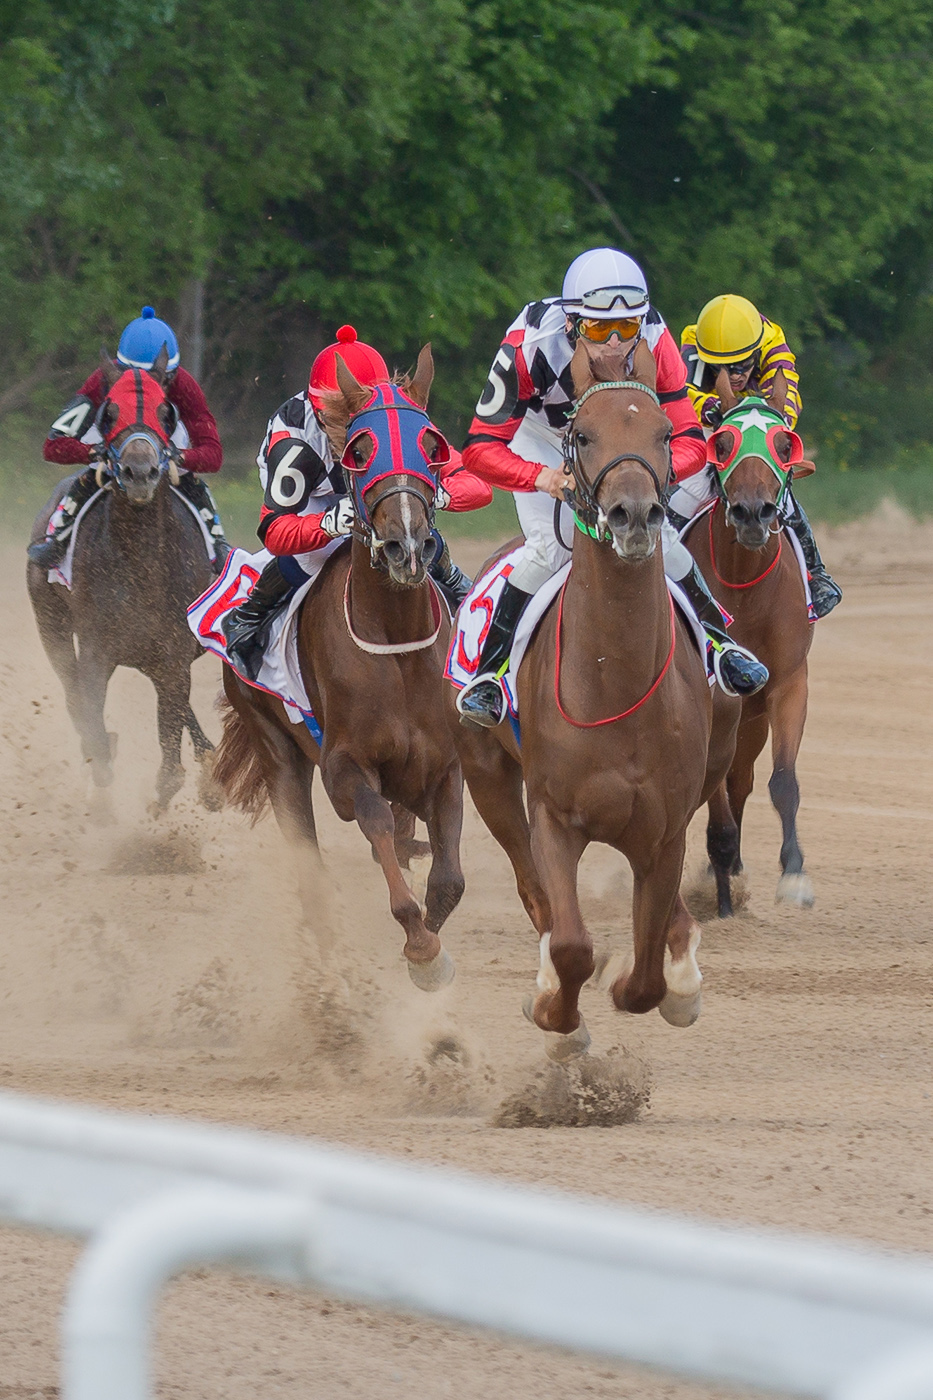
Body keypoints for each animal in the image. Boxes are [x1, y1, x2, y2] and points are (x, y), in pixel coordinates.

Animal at [27, 343, 219, 817]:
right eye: (109, 411)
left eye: (167, 412)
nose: (139, 472)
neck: (142, 563)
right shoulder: (98, 651)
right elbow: (92, 718)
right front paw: (103, 787)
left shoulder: (173, 654)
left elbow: (170, 766)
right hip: (51, 624)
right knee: (72, 689)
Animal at [448, 341, 734, 1058]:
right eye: (581, 435)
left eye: (661, 433)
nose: (633, 515)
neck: (615, 681)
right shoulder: (553, 815)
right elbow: (572, 942)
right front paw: (557, 1014)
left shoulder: (663, 829)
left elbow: (646, 973)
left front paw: (663, 985)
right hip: (486, 775)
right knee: (535, 895)